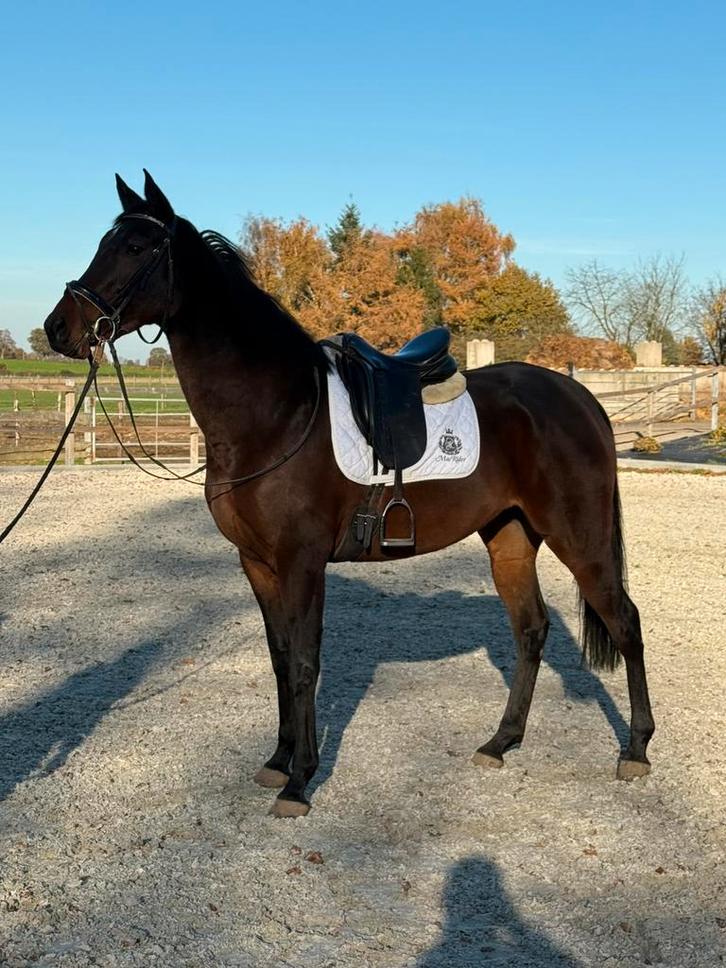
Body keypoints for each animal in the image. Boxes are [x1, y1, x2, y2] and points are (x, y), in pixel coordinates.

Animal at [43, 171, 655, 817]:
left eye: (135, 247)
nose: (59, 328)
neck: (279, 412)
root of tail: (579, 397)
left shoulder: (302, 562)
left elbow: (305, 663)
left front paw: (300, 781)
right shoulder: (257, 563)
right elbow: (280, 659)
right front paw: (278, 761)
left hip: (579, 538)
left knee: (625, 622)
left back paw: (636, 750)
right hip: (509, 536)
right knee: (532, 629)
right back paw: (500, 742)